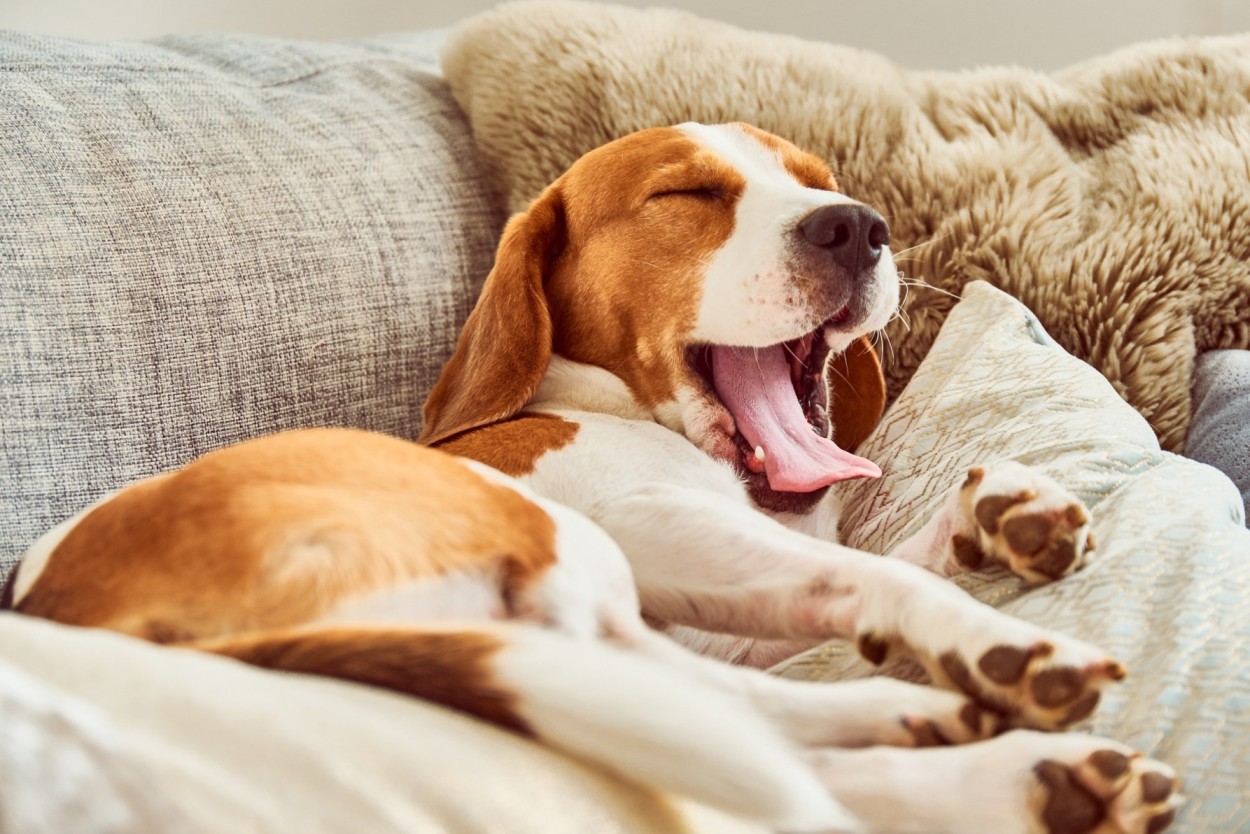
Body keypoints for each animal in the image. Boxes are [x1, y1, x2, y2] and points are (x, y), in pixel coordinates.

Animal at [4, 123, 1175, 834]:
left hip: (602, 630)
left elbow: (863, 572)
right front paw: (990, 636)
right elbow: (869, 576)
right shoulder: (645, 522)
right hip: (564, 555)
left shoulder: (716, 606)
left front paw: (996, 516)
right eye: (688, 193)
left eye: (815, 183)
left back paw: (977, 753)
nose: (855, 225)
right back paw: (992, 739)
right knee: (762, 751)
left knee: (757, 732)